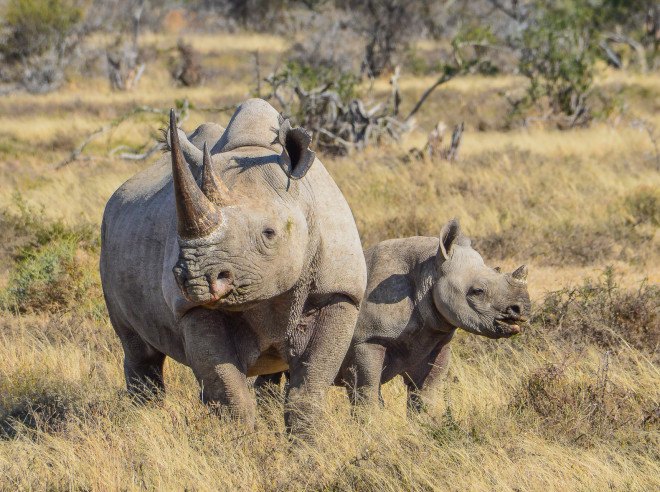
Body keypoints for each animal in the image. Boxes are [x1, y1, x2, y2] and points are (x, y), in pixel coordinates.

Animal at [100, 99, 367, 436]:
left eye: (269, 233)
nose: (196, 279)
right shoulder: (191, 308)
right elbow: (230, 394)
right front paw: (239, 445)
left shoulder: (339, 292)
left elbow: (308, 389)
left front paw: (307, 447)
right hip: (108, 236)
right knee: (139, 351)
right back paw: (143, 420)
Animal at [256, 219, 531, 412]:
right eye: (477, 291)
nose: (522, 310)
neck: (429, 271)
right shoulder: (367, 339)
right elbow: (367, 392)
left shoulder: (436, 338)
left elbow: (426, 395)